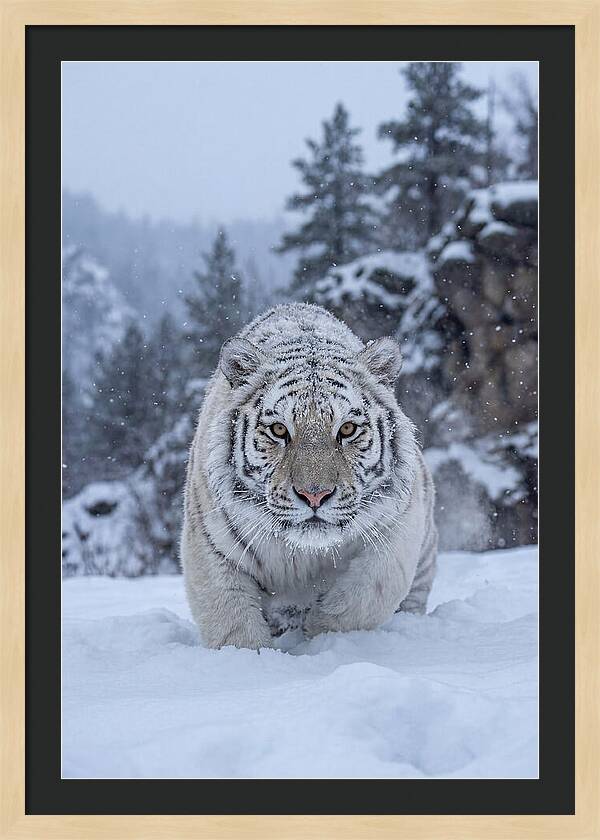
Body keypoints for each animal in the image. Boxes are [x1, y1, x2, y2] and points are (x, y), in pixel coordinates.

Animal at [181, 303, 437, 650]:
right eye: (279, 430)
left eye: (347, 429)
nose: (314, 495)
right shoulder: (211, 545)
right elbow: (232, 622)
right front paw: (252, 656)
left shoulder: (397, 527)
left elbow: (365, 596)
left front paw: (320, 633)